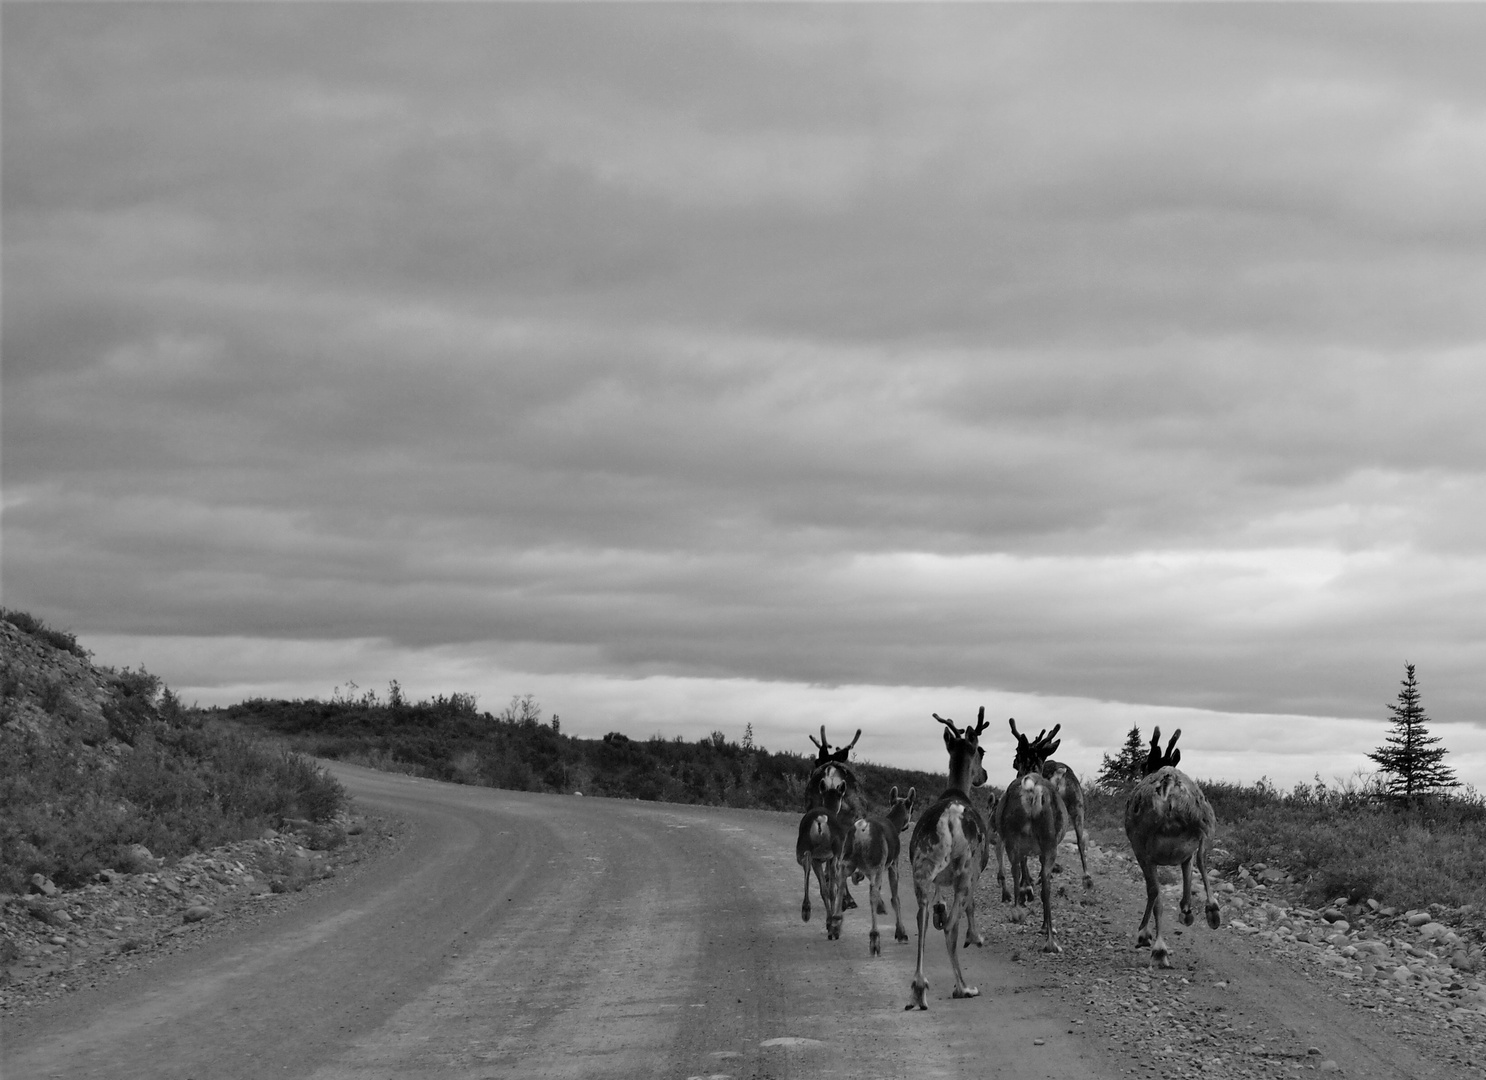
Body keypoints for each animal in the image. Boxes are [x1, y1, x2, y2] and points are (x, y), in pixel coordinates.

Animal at [844, 784, 909, 956]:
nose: (906, 826)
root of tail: (861, 832)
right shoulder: (892, 864)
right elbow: (895, 898)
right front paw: (901, 933)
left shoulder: (867, 869)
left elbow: (864, 881)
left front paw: (881, 906)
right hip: (878, 864)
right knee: (871, 894)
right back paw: (875, 939)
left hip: (847, 861)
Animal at [1123, 727, 1218, 974]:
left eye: (1145, 764)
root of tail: (1169, 784)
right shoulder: (1185, 854)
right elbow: (1187, 884)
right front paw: (1187, 912)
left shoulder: (1148, 855)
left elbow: (1156, 894)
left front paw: (1147, 937)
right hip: (1205, 821)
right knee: (1203, 859)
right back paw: (1213, 910)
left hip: (1141, 843)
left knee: (1154, 891)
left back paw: (1154, 945)